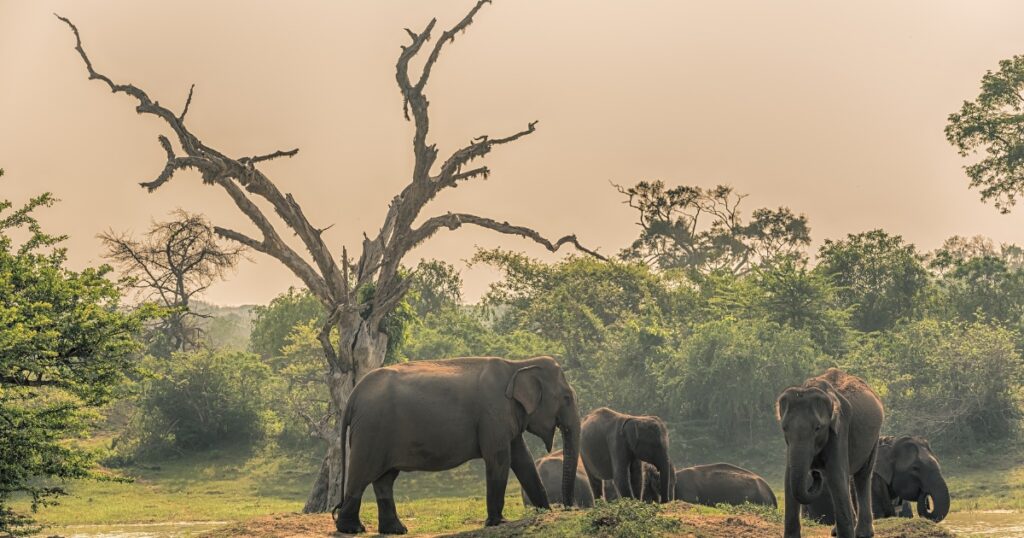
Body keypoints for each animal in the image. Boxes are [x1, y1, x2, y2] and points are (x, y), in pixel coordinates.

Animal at [331, 356, 581, 532]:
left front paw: (545, 512)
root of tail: (353, 396)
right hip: (371, 431)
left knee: (385, 479)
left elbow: (522, 459)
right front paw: (498, 522)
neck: (519, 364)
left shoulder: (506, 418)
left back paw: (396, 530)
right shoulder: (493, 414)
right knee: (362, 474)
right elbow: (499, 458)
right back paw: (352, 529)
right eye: (567, 398)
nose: (568, 508)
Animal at [774, 364, 880, 536]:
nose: (814, 473)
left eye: (818, 428)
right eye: (784, 428)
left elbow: (837, 474)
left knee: (862, 476)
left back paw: (863, 533)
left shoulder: (840, 428)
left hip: (874, 438)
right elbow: (789, 477)